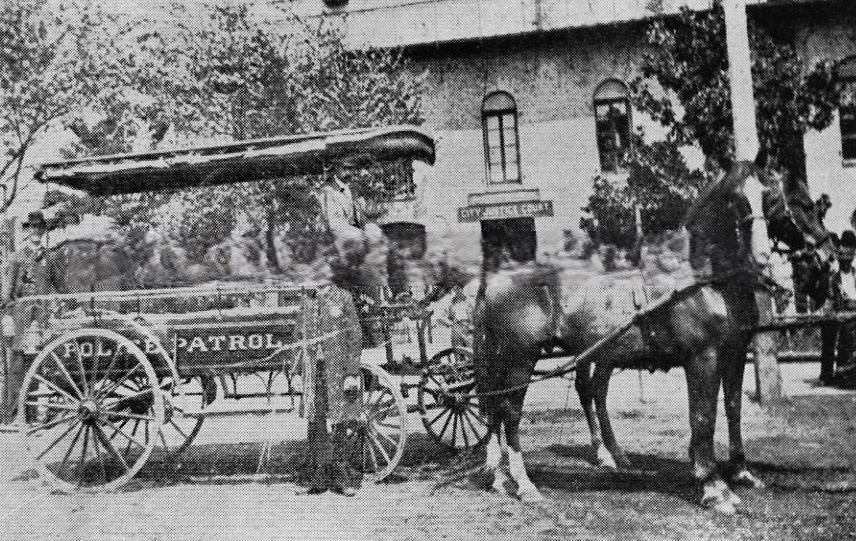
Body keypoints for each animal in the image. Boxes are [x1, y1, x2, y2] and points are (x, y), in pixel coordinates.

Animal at [468, 159, 796, 510]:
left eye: (770, 195)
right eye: (734, 198)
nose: (762, 256)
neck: (703, 279)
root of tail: (495, 279)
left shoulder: (734, 354)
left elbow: (732, 409)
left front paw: (741, 473)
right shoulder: (702, 357)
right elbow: (703, 417)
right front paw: (713, 487)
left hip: (513, 360)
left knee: (501, 408)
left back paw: (503, 478)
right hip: (520, 359)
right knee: (511, 413)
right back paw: (525, 484)